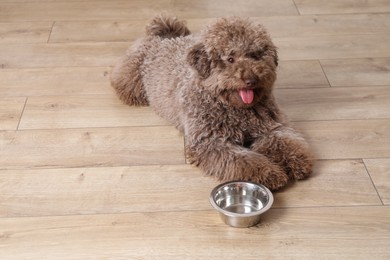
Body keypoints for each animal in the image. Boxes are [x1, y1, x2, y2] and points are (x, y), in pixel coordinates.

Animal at [109, 15, 314, 190]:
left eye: (256, 55)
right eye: (230, 58)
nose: (251, 79)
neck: (235, 108)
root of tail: (163, 36)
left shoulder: (271, 126)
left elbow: (284, 141)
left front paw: (297, 161)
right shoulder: (210, 142)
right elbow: (244, 160)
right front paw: (269, 173)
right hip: (132, 78)